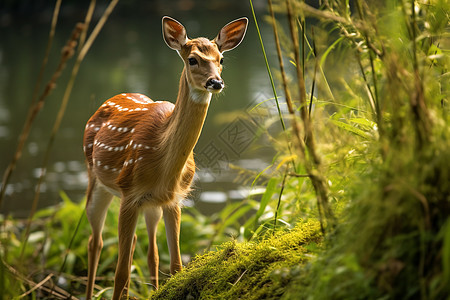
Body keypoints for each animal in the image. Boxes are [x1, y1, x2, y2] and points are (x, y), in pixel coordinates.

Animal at [82, 17, 248, 300]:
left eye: (221, 59)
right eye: (192, 59)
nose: (215, 82)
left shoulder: (174, 199)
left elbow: (176, 265)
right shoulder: (129, 192)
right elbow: (120, 273)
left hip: (151, 206)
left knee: (147, 252)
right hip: (97, 180)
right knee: (96, 242)